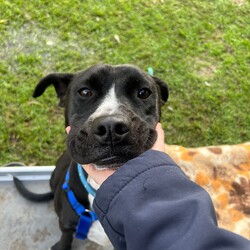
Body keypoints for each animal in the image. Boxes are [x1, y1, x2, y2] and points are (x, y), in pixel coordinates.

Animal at [14, 63, 169, 249]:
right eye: (85, 92)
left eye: (144, 93)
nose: (111, 127)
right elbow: (65, 239)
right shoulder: (66, 226)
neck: (97, 188)